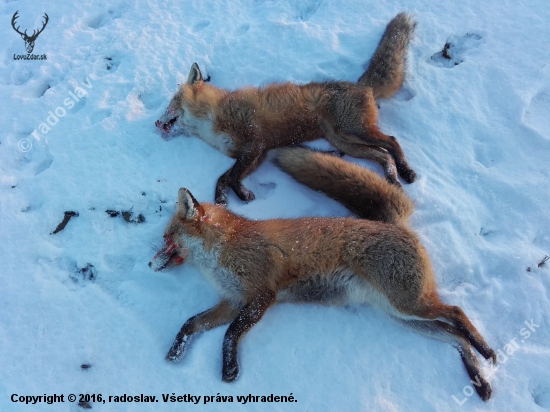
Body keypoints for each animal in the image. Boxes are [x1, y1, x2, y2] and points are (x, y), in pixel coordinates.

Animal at [149, 147, 498, 400]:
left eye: (166, 238)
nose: (148, 264)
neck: (222, 251)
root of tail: (395, 225)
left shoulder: (262, 295)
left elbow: (230, 333)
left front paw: (230, 369)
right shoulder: (232, 302)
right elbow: (191, 323)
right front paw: (176, 351)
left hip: (409, 304)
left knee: (456, 312)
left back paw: (486, 351)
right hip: (404, 317)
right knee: (453, 335)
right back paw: (480, 381)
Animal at [155, 13, 418, 206]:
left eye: (172, 102)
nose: (156, 123)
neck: (213, 116)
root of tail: (361, 85)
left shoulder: (255, 144)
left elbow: (232, 176)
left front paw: (239, 194)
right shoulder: (256, 154)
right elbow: (225, 177)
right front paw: (224, 197)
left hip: (352, 130)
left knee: (392, 141)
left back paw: (406, 172)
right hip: (344, 142)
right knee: (383, 154)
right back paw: (392, 179)